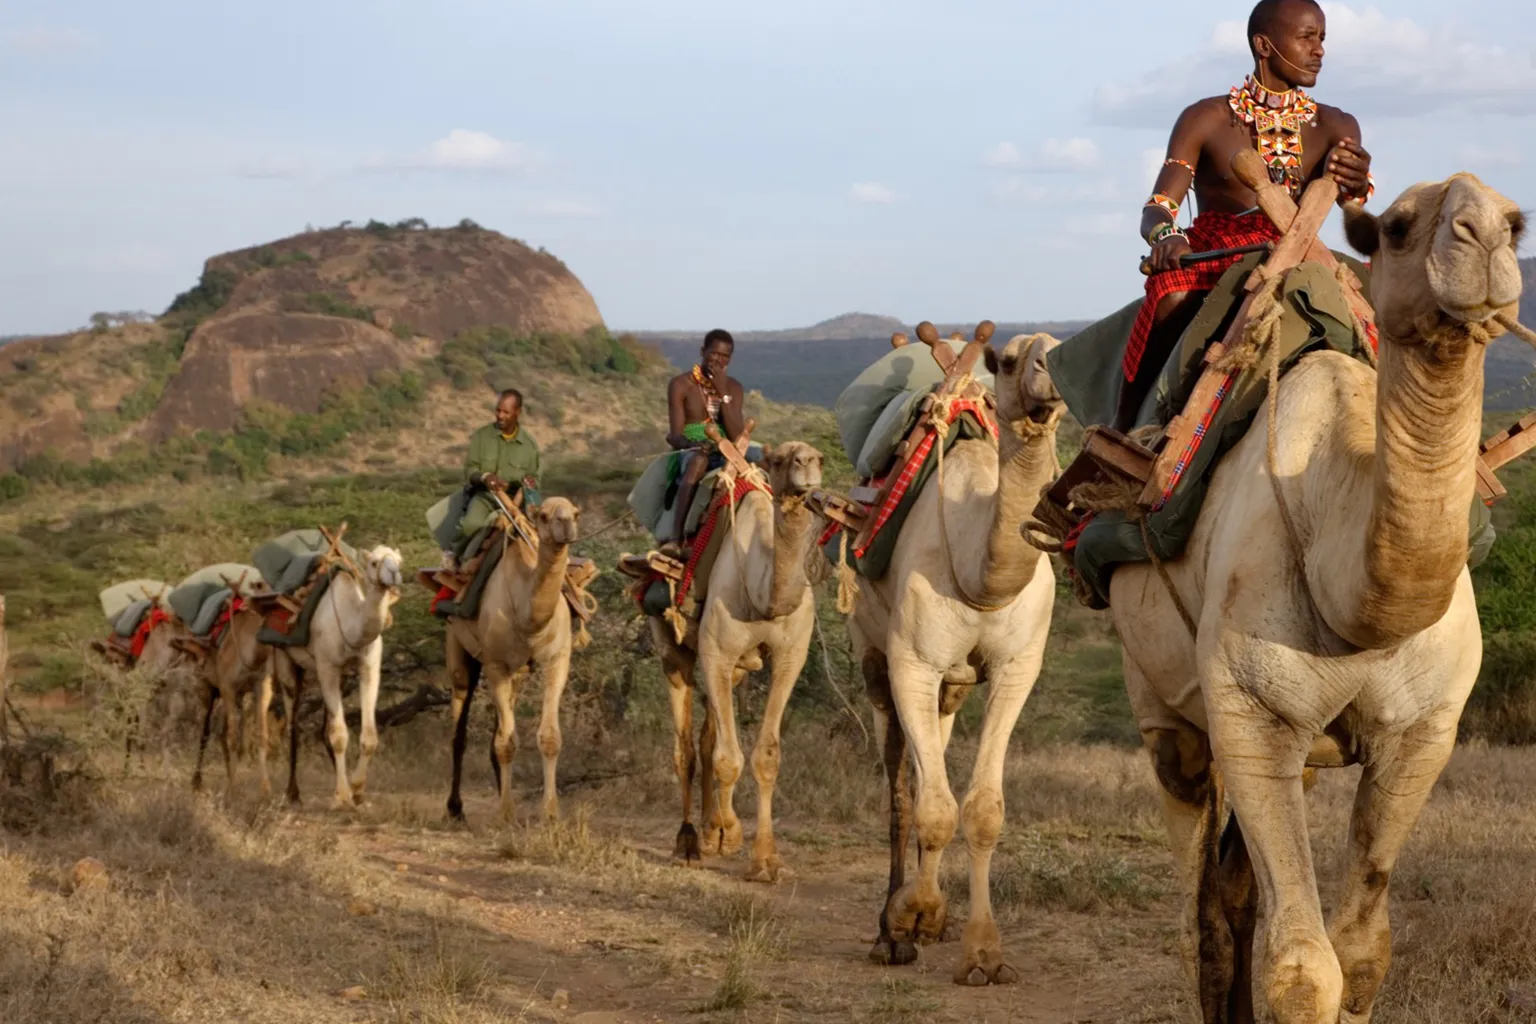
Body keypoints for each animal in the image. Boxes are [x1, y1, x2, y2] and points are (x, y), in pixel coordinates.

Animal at [265, 545, 404, 807]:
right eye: (374, 562)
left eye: (399, 561)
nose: (394, 575)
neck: (351, 624)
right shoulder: (327, 668)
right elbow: (338, 735)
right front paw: (344, 795)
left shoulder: (369, 667)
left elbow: (369, 735)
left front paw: (356, 789)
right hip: (285, 660)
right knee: (293, 724)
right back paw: (292, 792)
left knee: (323, 726)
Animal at [444, 497, 580, 824]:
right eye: (543, 516)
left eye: (576, 512)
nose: (567, 525)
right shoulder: (495, 665)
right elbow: (506, 742)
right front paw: (507, 814)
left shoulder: (557, 659)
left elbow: (549, 737)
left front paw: (551, 812)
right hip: (458, 649)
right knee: (459, 730)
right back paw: (455, 808)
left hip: (516, 674)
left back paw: (497, 791)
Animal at [649, 440, 824, 881]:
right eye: (779, 460)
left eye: (819, 458)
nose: (807, 464)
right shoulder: (716, 653)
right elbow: (728, 759)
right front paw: (728, 834)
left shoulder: (789, 658)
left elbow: (766, 755)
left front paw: (764, 859)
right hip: (672, 645)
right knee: (686, 749)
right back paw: (690, 843)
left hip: (739, 669)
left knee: (708, 736)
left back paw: (709, 830)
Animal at [851, 330, 1065, 985]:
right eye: (1013, 359)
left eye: (1061, 344)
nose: (1051, 375)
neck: (980, 572)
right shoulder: (911, 663)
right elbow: (931, 807)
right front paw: (913, 916)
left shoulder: (1017, 670)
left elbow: (981, 809)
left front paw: (982, 953)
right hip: (872, 656)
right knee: (901, 784)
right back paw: (888, 932)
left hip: (954, 684)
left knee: (933, 763)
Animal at [1109, 173, 1523, 1023]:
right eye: (1397, 226)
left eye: (1518, 223)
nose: (1484, 237)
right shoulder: (1253, 718)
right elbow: (1302, 969)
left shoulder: (1423, 733)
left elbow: (1362, 953)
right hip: (1167, 717)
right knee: (1199, 909)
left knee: (1232, 894)